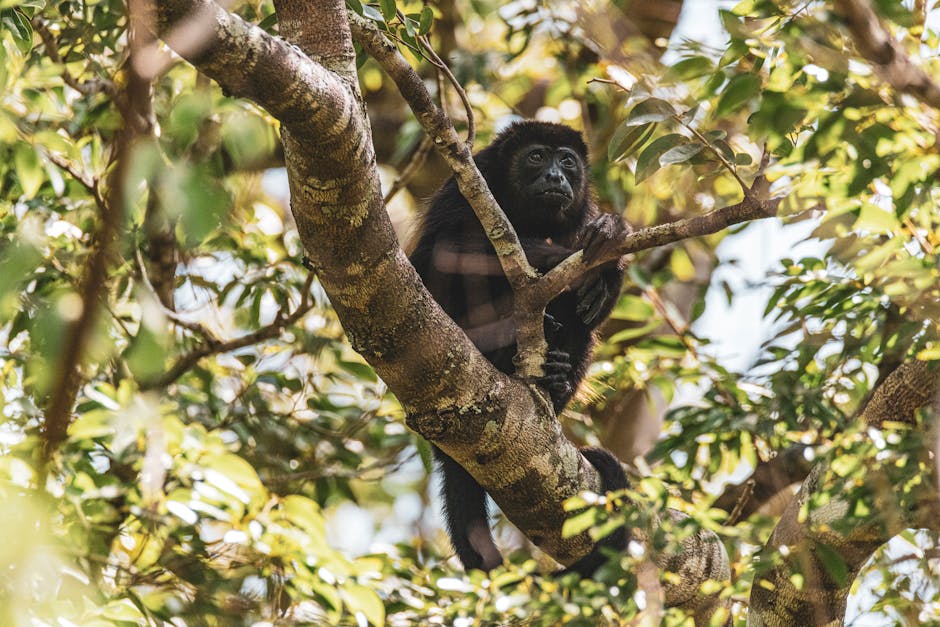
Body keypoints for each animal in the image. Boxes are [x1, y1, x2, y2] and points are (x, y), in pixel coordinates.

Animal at [408, 120, 630, 576]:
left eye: (568, 161)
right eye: (536, 156)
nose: (556, 177)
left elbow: (594, 310)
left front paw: (609, 251)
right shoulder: (470, 181)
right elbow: (443, 250)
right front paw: (571, 255)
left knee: (580, 326)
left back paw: (556, 376)